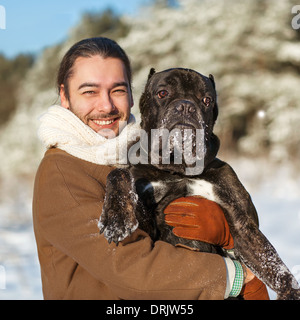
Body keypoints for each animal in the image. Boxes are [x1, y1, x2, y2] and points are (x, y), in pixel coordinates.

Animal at [99, 67, 300, 300]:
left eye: (206, 99)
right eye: (162, 93)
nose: (186, 106)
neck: (179, 167)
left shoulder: (243, 225)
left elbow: (273, 264)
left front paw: (290, 292)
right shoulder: (147, 223)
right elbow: (119, 173)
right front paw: (116, 219)